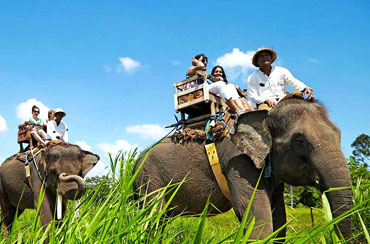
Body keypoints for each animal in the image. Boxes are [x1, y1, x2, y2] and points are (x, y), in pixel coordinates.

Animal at [134, 96, 354, 241]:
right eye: (299, 141)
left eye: (339, 135)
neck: (263, 114)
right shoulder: (238, 162)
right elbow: (256, 215)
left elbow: (278, 216)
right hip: (149, 180)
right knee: (153, 216)